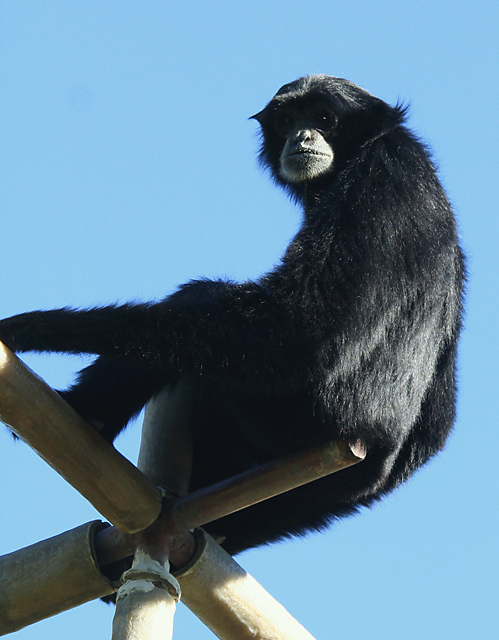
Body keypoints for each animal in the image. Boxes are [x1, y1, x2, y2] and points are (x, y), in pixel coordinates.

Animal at [0, 76, 464, 556]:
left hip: (293, 417)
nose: (302, 137)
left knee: (208, 305)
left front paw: (37, 327)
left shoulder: (382, 172)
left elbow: (305, 329)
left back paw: (87, 411)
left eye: (323, 118)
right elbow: (438, 422)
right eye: (286, 120)